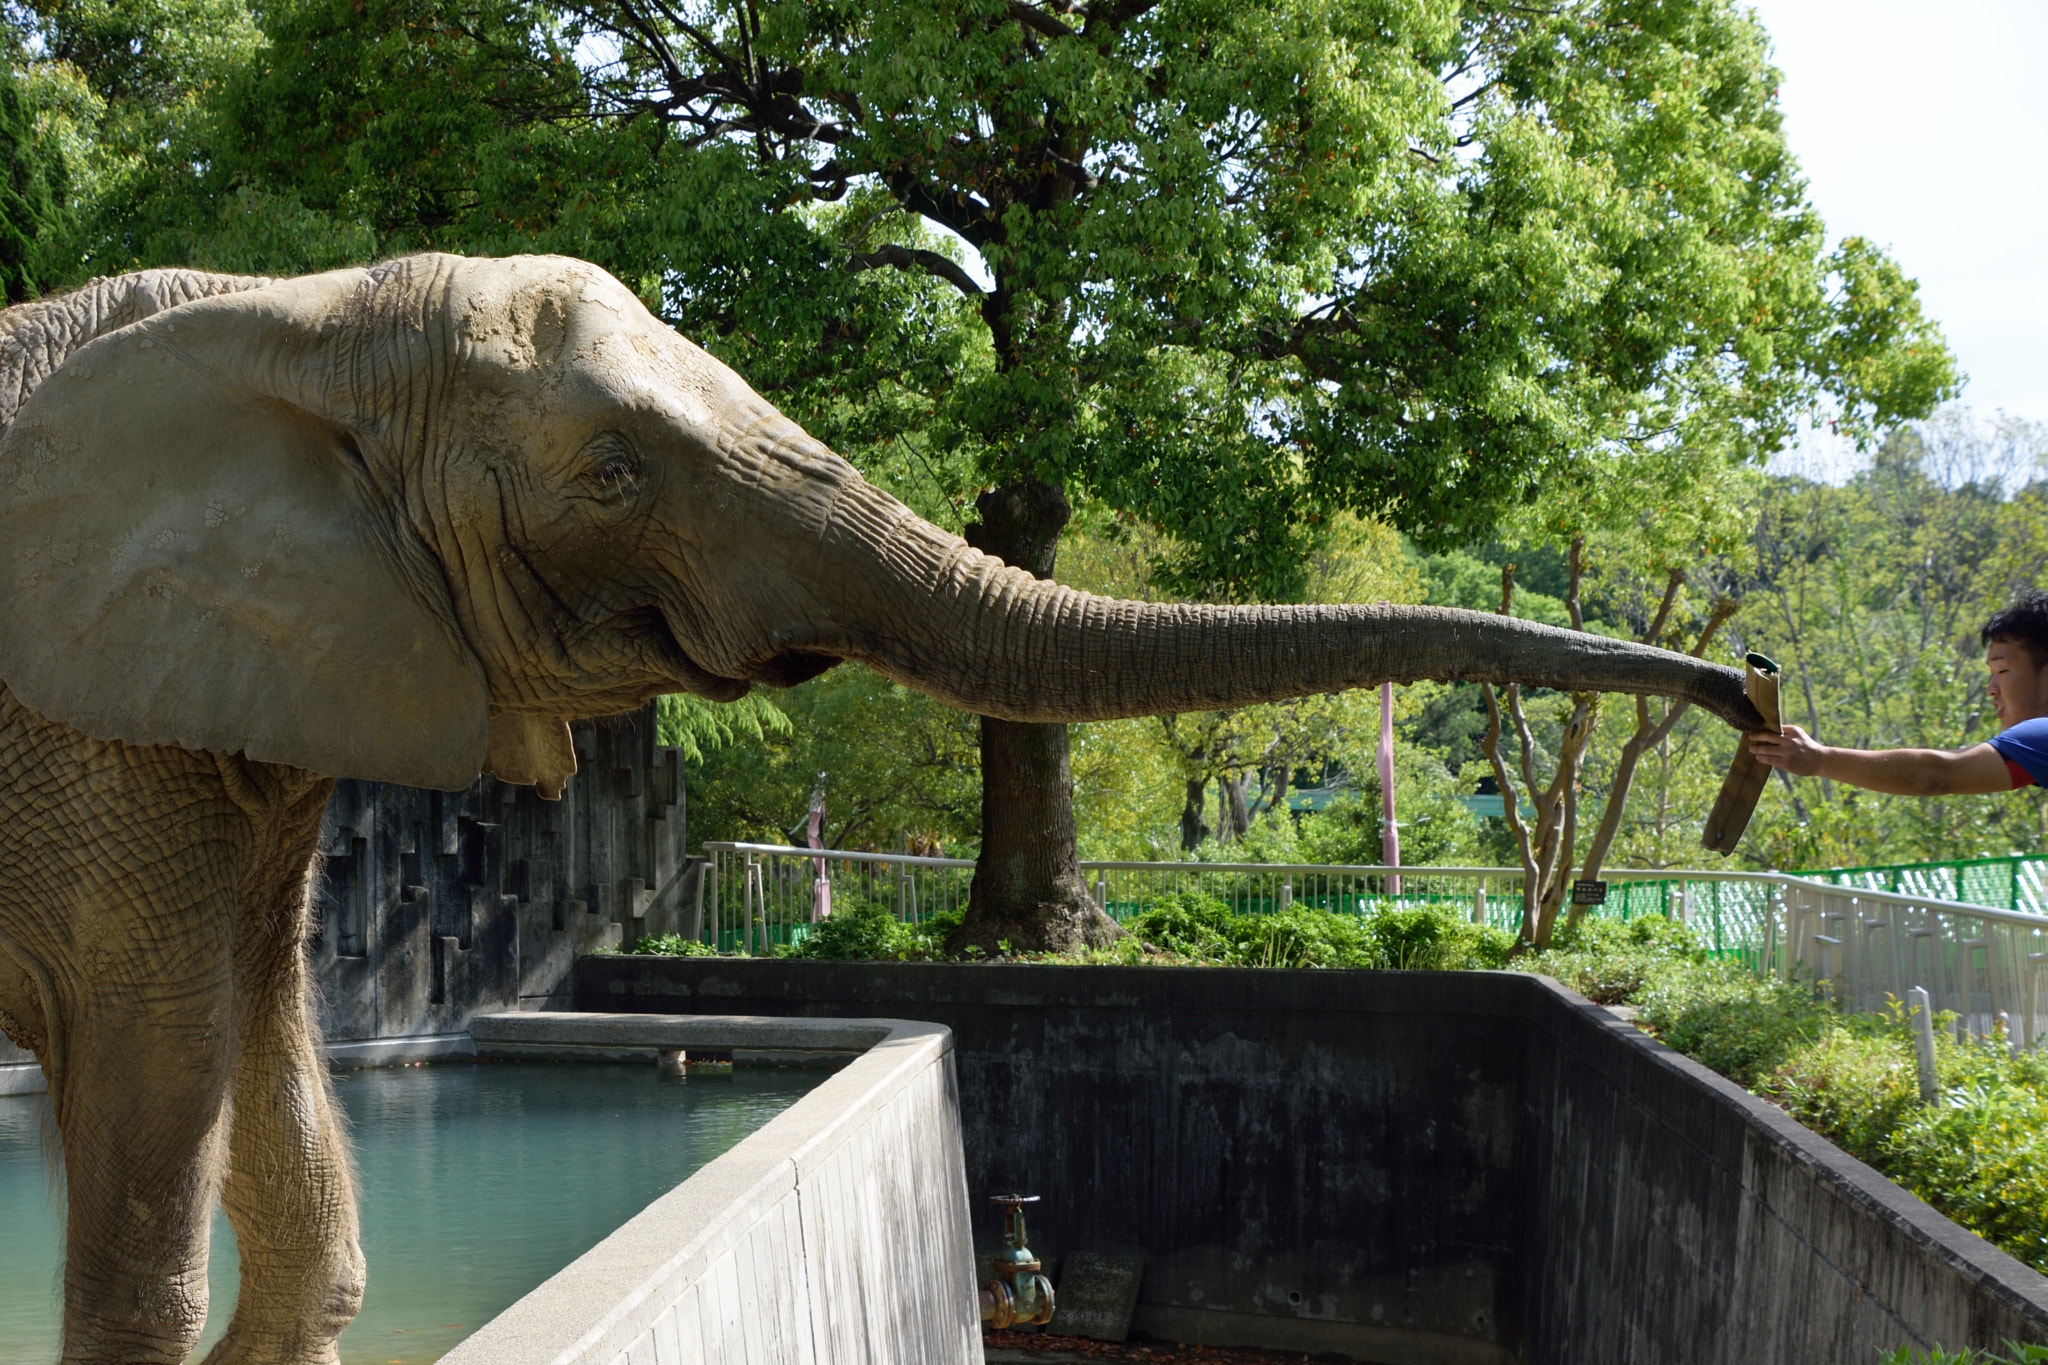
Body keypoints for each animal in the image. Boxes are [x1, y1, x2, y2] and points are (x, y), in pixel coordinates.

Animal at [0, 253, 1762, 1363]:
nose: (1752, 703)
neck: (298, 316)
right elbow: (162, 1079)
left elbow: (273, 1085)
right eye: (611, 475)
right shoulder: (82, 724)